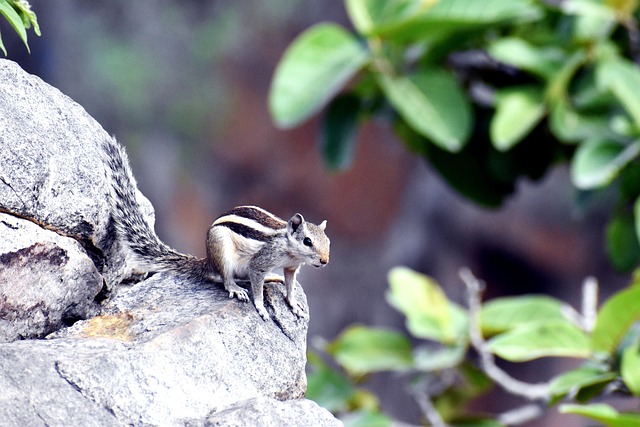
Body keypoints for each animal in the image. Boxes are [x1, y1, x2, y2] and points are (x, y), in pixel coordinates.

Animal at [101, 135, 330, 320]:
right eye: (307, 241)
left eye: (328, 243)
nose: (325, 261)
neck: (289, 249)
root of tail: (208, 262)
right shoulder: (260, 262)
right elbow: (257, 286)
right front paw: (261, 308)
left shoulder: (291, 268)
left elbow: (290, 286)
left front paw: (293, 304)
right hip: (222, 249)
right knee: (227, 279)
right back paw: (237, 289)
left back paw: (272, 277)